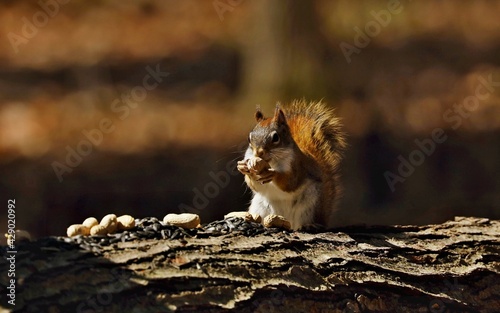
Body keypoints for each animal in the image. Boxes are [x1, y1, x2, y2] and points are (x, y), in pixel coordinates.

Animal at [236, 99, 346, 229]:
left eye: (275, 137)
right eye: (249, 138)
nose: (258, 153)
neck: (271, 162)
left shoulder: (297, 165)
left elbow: (290, 183)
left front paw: (273, 174)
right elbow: (255, 185)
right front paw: (243, 168)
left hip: (310, 205)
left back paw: (309, 225)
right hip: (260, 206)